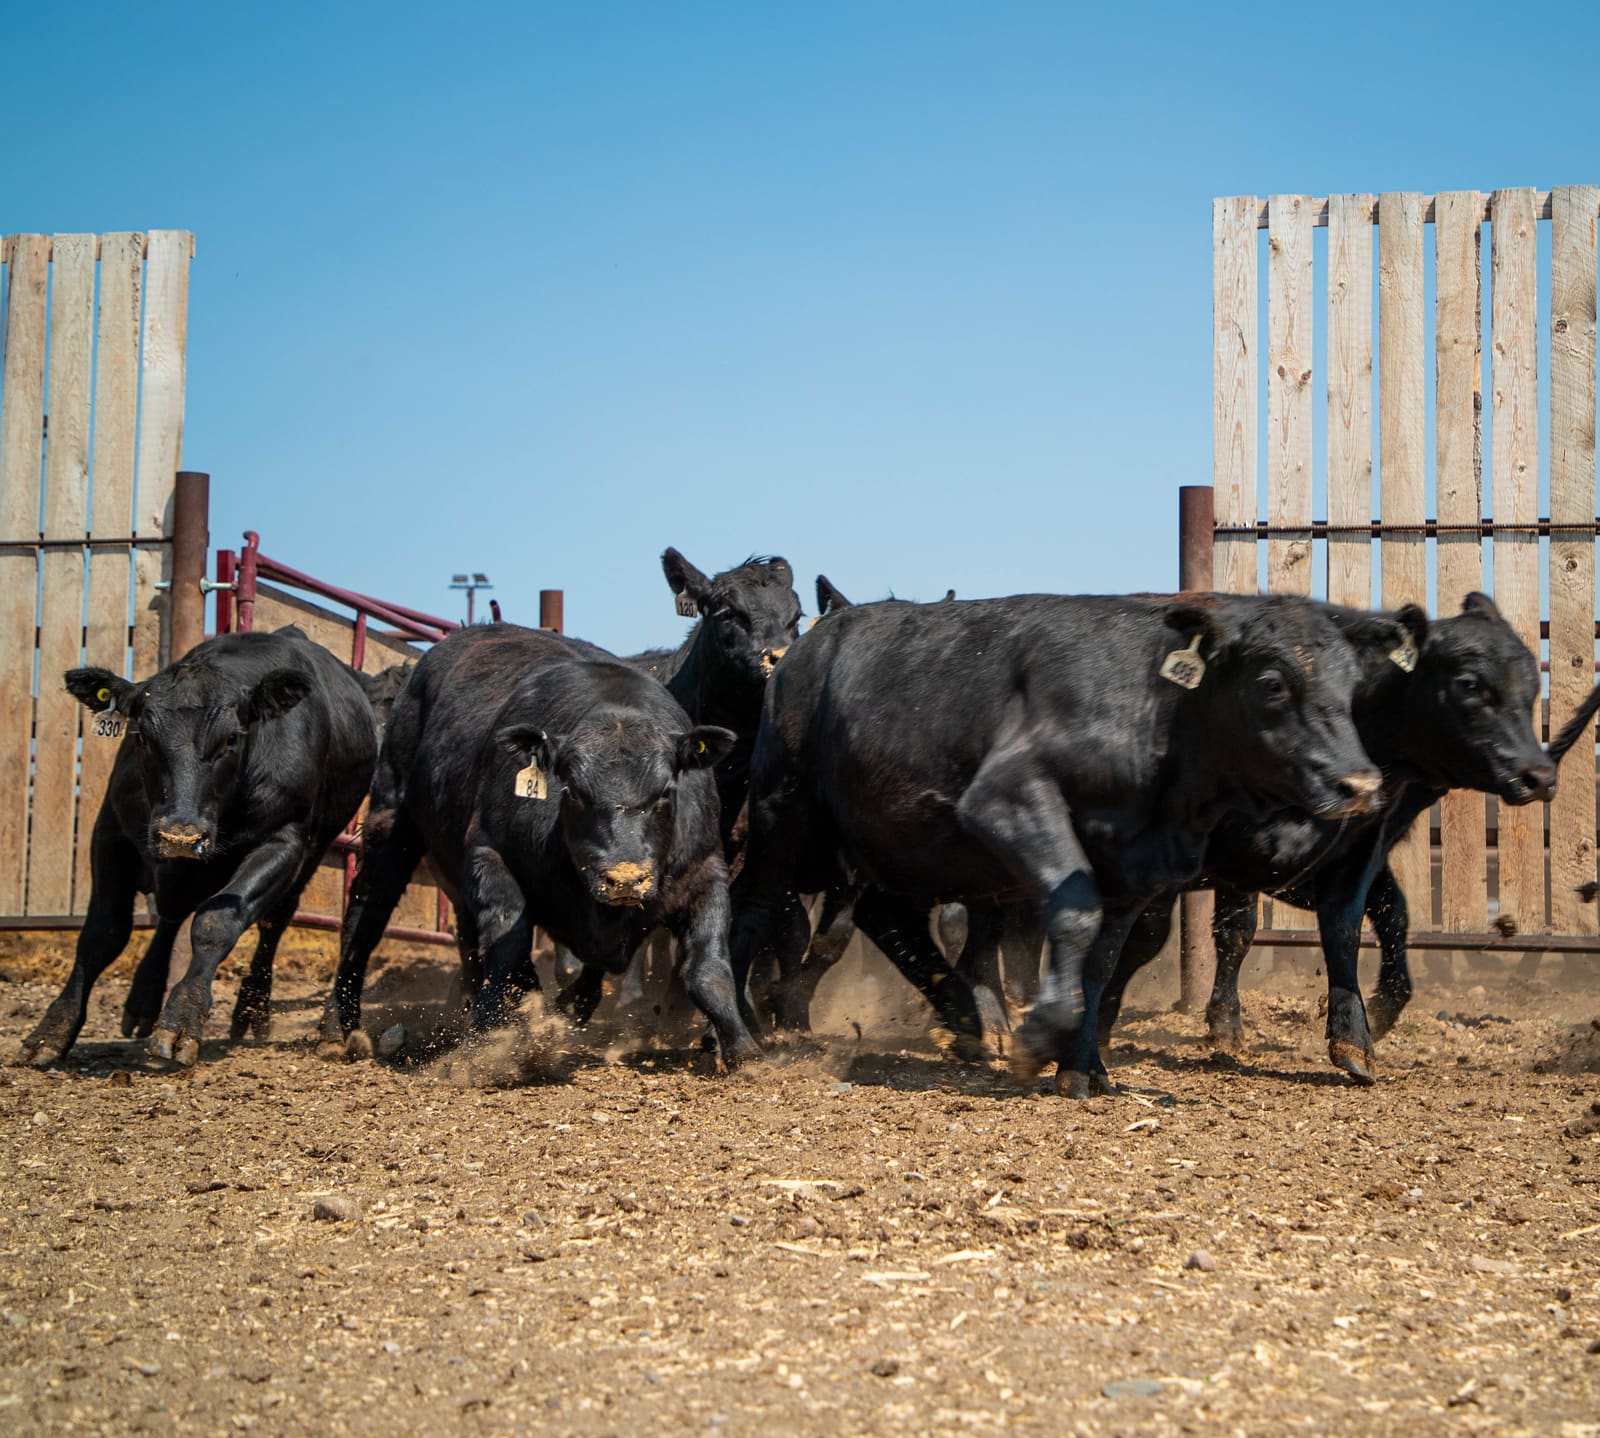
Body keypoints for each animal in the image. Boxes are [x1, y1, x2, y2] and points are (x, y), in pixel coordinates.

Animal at [15, 628, 379, 1068]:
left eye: (232, 739)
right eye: (142, 737)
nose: (180, 837)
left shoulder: (282, 842)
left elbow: (214, 922)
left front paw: (182, 1019)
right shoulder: (112, 831)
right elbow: (103, 932)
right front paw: (53, 1029)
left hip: (315, 847)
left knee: (273, 921)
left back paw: (252, 1008)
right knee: (171, 915)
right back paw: (143, 999)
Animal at [318, 623, 759, 1065]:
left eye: (666, 791)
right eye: (574, 791)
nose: (624, 880)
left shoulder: (705, 872)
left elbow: (708, 970)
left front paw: (743, 1049)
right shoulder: (489, 855)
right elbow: (510, 946)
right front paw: (498, 1034)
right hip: (390, 819)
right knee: (364, 919)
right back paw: (340, 1027)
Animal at [729, 592, 1401, 1096]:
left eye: (1351, 686)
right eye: (1272, 683)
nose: (1361, 784)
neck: (1151, 709)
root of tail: (804, 648)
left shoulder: (1136, 871)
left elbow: (1101, 962)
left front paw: (1083, 1069)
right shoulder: (1008, 797)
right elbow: (1075, 917)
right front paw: (1038, 1039)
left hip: (891, 847)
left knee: (884, 916)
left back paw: (968, 1023)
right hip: (782, 818)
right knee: (752, 909)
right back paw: (739, 1038)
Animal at [1093, 593, 1587, 1084]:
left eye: (1532, 686)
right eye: (1469, 684)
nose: (1539, 776)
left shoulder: (1355, 850)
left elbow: (1352, 926)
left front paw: (1358, 1035)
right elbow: (1150, 935)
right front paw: (1100, 1024)